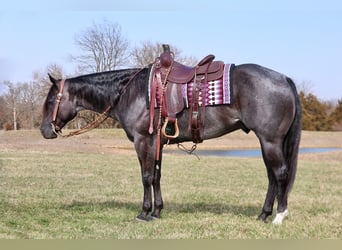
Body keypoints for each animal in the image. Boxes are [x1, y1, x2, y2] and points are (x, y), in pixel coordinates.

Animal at [40, 59, 302, 224]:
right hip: (267, 142)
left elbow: (146, 177)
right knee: (272, 177)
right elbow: (156, 176)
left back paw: (279, 216)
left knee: (280, 174)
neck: (130, 92)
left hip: (270, 141)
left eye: (52, 101)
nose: (44, 131)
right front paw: (157, 212)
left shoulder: (143, 141)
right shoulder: (157, 143)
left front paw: (144, 213)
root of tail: (284, 78)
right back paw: (263, 215)